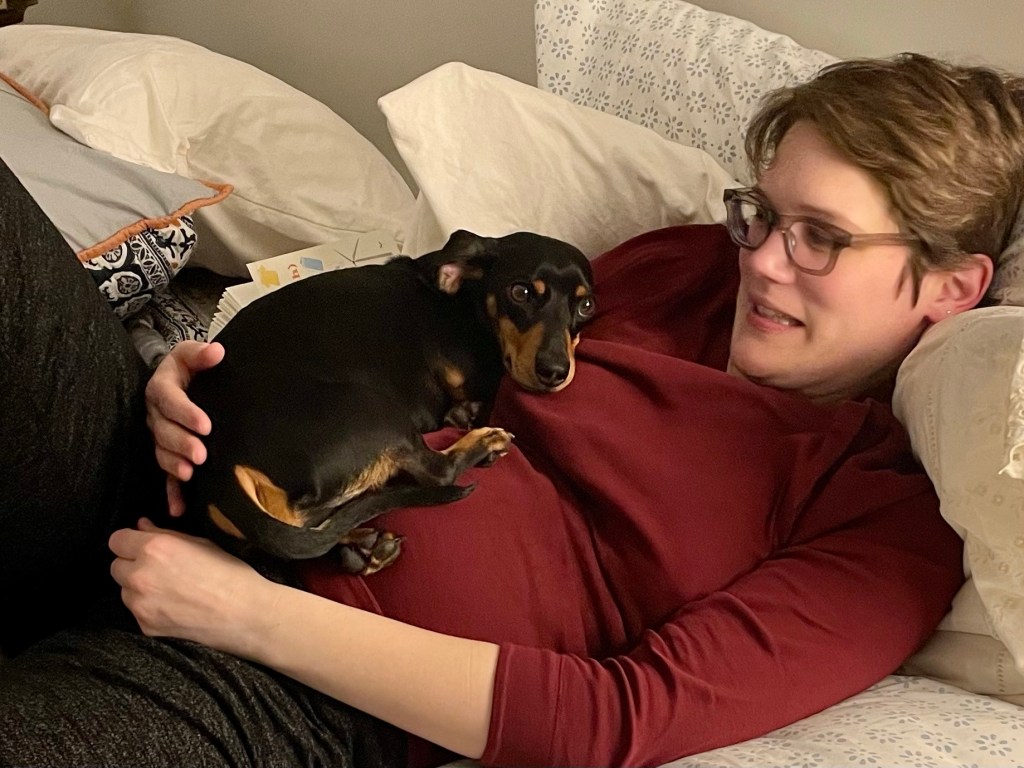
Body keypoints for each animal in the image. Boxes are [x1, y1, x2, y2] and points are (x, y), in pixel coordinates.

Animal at [183, 229, 595, 575]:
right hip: (374, 411)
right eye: (520, 292)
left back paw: (363, 544)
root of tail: (219, 466)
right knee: (435, 471)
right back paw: (483, 444)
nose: (555, 372)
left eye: (586, 305)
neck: (468, 302)